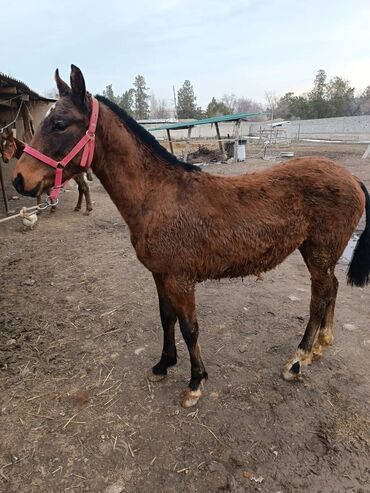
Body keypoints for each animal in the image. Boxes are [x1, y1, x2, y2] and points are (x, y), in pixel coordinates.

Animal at [11, 65, 370, 408]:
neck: (157, 195)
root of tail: (351, 177)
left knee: (319, 297)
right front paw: (163, 365)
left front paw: (195, 382)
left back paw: (297, 360)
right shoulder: (160, 275)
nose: (18, 179)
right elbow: (166, 318)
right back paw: (321, 345)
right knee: (332, 288)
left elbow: (189, 328)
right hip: (317, 253)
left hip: (319, 252)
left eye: (59, 124)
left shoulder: (181, 279)